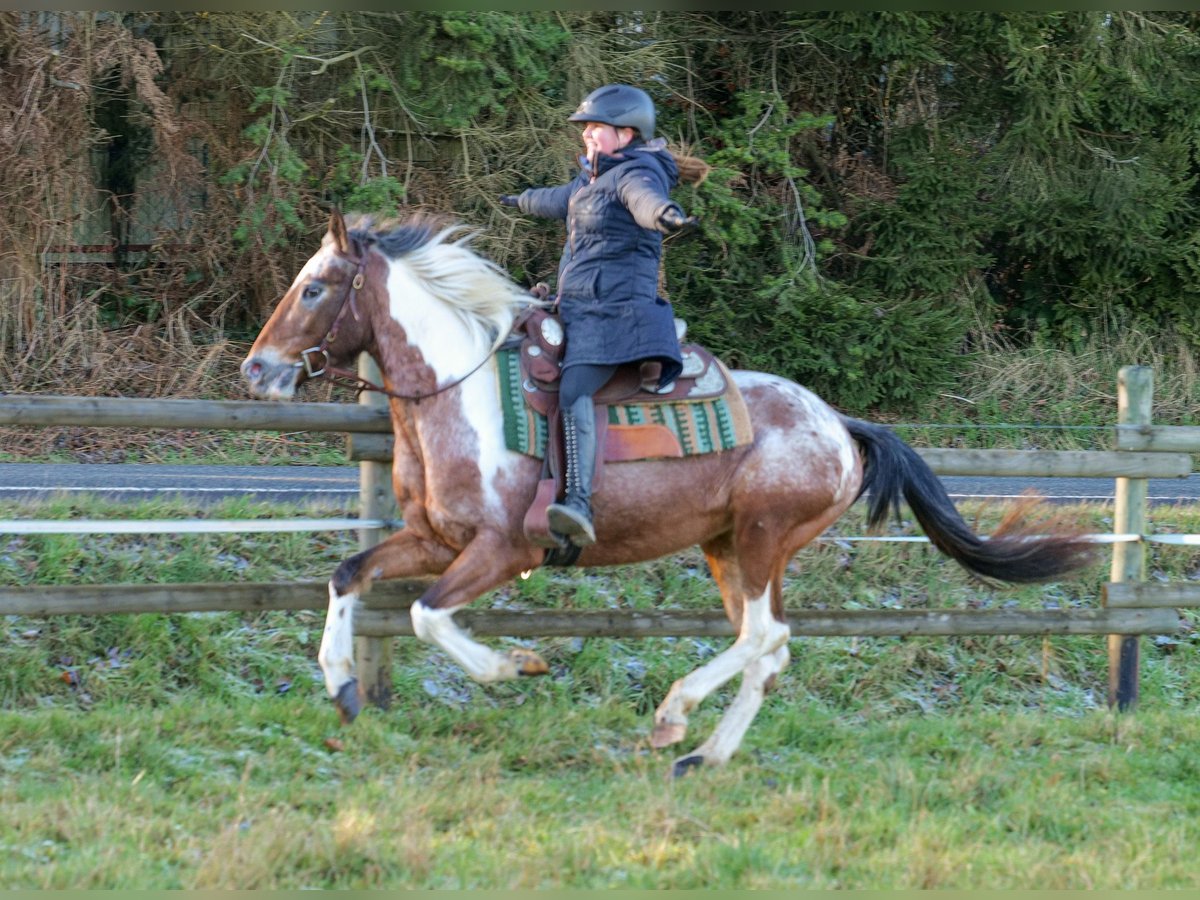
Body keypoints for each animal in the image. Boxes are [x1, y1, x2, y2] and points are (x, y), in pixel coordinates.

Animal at [241, 210, 1099, 777]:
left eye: (316, 288)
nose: (257, 369)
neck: (463, 395)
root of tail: (839, 424)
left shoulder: (503, 550)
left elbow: (425, 615)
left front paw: (515, 666)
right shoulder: (431, 540)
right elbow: (348, 577)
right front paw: (343, 686)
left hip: (758, 541)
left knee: (761, 637)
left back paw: (673, 716)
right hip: (732, 550)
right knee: (771, 647)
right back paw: (705, 754)